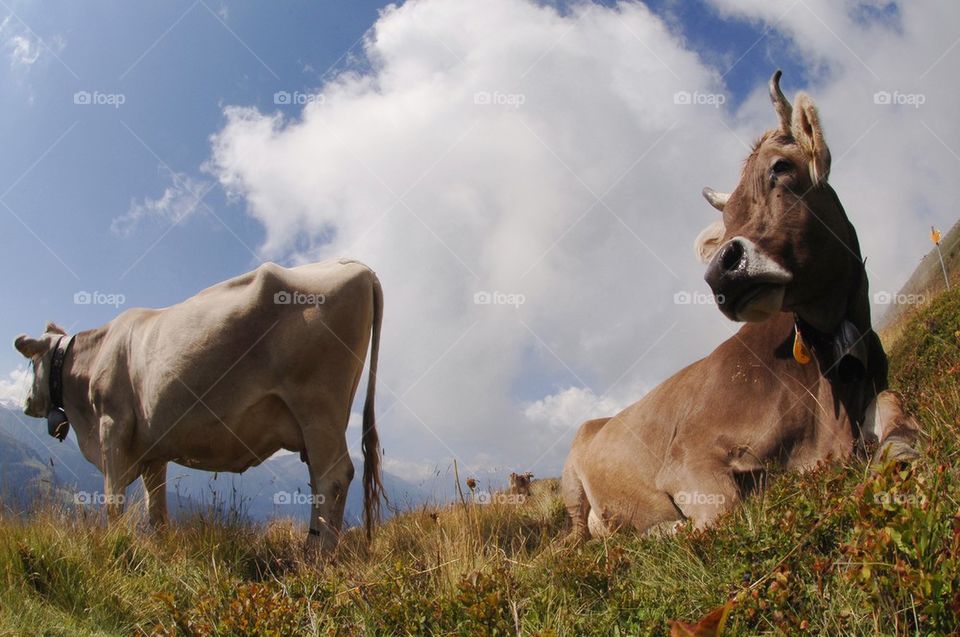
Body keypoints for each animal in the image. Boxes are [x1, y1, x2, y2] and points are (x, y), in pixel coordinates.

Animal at [13, 258, 384, 555]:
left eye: (32, 361)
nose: (28, 402)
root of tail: (356, 267)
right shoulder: (153, 450)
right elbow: (156, 507)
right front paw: (161, 550)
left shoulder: (111, 426)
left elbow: (113, 500)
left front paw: (115, 545)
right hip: (319, 421)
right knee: (318, 479)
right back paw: (310, 547)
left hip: (318, 408)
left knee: (333, 477)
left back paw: (319, 557)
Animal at [561, 71, 919, 542]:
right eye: (727, 217)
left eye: (781, 168)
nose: (720, 271)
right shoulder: (687, 459)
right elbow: (725, 512)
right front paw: (666, 529)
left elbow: (893, 403)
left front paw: (901, 450)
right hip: (571, 485)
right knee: (579, 534)